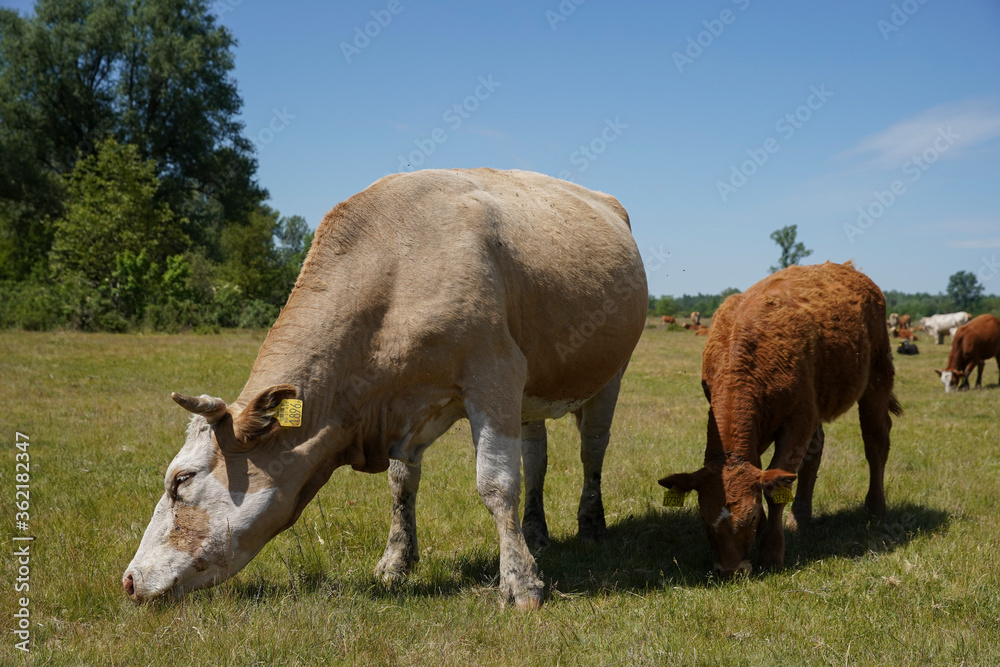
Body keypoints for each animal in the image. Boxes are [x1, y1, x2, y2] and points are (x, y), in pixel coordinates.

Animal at [123, 168, 648, 611]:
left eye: (181, 480)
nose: (128, 580)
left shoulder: (495, 375)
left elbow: (496, 484)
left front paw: (521, 581)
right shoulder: (409, 410)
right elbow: (401, 484)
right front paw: (396, 561)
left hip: (610, 375)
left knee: (592, 450)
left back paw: (591, 525)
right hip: (533, 395)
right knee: (537, 455)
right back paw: (536, 530)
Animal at [659, 261, 902, 577]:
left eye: (749, 519)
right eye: (704, 521)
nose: (730, 570)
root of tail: (850, 268)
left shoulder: (798, 420)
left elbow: (777, 486)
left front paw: (771, 549)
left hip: (877, 378)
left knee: (876, 441)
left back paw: (875, 507)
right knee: (815, 452)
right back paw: (801, 516)